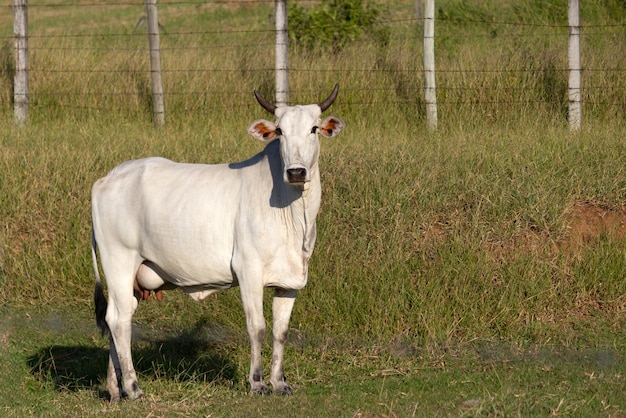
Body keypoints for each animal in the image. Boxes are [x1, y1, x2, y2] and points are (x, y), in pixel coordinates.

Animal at [92, 83, 344, 400]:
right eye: (280, 131)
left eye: (313, 129)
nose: (296, 172)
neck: (294, 214)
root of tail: (107, 178)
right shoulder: (248, 272)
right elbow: (257, 327)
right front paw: (257, 382)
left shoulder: (290, 282)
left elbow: (280, 331)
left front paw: (279, 382)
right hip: (119, 262)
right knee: (119, 321)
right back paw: (133, 387)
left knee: (116, 318)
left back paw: (115, 389)